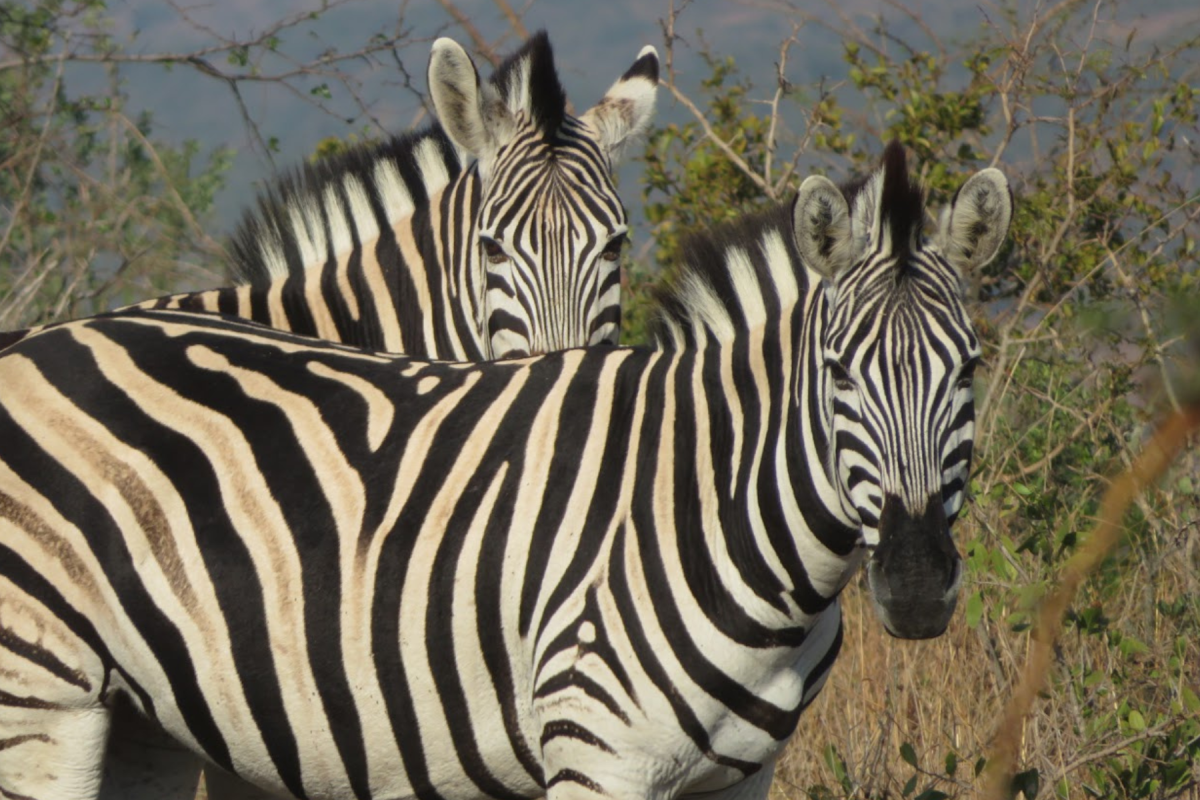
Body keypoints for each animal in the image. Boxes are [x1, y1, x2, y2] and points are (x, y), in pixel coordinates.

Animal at [0, 140, 1012, 796]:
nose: (915, 586)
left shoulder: (739, 780)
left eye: (968, 369)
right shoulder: (597, 757)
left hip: (144, 722)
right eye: (838, 373)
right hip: (41, 699)